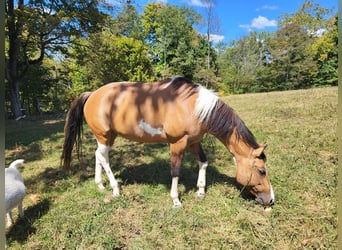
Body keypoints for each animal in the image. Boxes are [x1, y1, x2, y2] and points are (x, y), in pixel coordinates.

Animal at [60, 76, 276, 209]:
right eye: (261, 171)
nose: (271, 200)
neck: (194, 107)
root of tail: (91, 94)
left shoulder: (194, 142)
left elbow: (203, 162)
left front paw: (200, 192)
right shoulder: (178, 143)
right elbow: (175, 171)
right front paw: (176, 201)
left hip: (107, 137)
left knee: (98, 155)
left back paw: (100, 186)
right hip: (104, 136)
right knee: (103, 158)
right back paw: (115, 189)